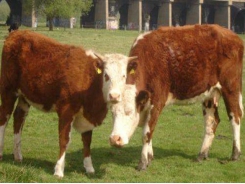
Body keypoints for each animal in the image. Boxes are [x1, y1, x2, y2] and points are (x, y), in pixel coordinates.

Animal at [0, 29, 134, 177]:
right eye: (106, 75)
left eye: (124, 76)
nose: (114, 96)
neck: (89, 80)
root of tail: (17, 33)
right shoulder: (66, 110)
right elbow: (64, 140)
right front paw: (59, 170)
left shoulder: (87, 114)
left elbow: (87, 141)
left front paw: (89, 167)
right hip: (8, 90)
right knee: (4, 117)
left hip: (24, 96)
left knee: (19, 118)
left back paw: (18, 155)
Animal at [109, 24, 243, 170]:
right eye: (112, 113)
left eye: (129, 112)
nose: (115, 139)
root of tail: (232, 35)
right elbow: (149, 130)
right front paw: (150, 157)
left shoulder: (156, 103)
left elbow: (146, 134)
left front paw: (143, 162)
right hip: (210, 93)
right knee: (211, 121)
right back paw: (202, 154)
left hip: (231, 88)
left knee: (235, 117)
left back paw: (235, 153)